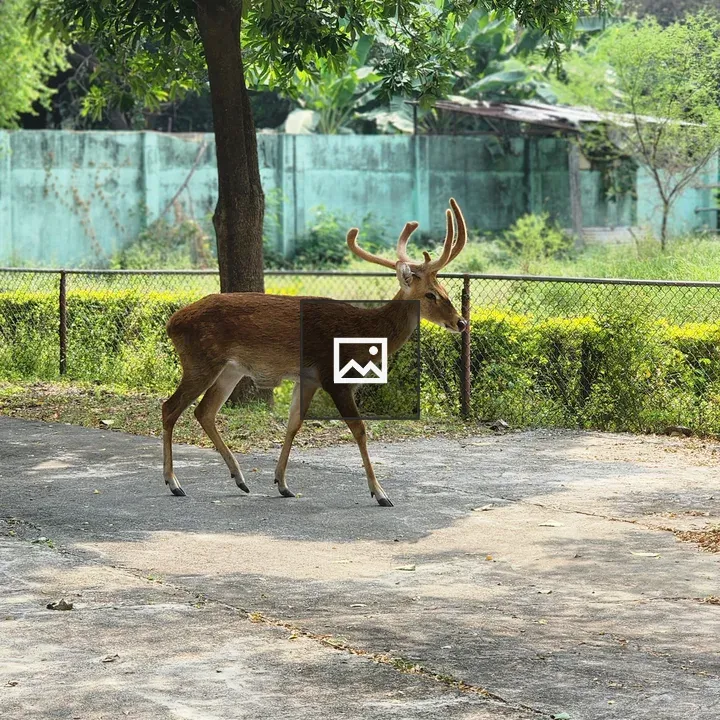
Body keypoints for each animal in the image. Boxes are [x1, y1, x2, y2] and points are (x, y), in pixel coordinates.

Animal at [162, 198, 468, 507]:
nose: (461, 322)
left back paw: (240, 479)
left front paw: (282, 484)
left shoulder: (307, 378)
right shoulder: (333, 376)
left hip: (230, 369)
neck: (362, 333)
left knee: (204, 411)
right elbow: (360, 429)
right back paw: (174, 483)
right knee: (170, 408)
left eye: (444, 288)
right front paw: (380, 493)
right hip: (200, 361)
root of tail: (171, 322)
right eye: (430, 294)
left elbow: (293, 423)